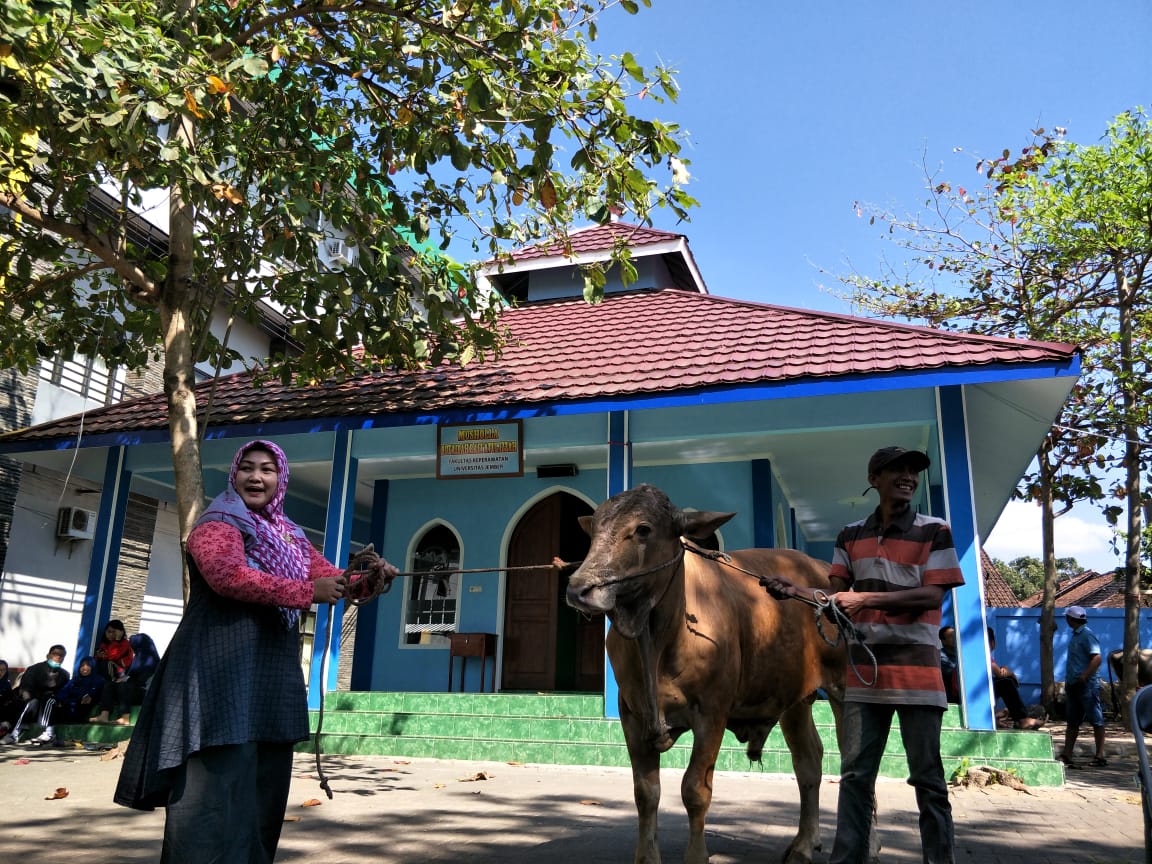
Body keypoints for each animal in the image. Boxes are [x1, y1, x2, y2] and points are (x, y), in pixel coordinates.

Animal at [564, 488, 847, 864]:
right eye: (594, 528)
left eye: (643, 529)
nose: (579, 588)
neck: (656, 637)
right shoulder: (630, 712)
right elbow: (646, 792)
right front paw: (647, 857)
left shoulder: (712, 712)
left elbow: (695, 789)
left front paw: (697, 855)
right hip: (794, 699)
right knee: (809, 761)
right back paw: (803, 844)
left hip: (844, 689)